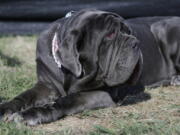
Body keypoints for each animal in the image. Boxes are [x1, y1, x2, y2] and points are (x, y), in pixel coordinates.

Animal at [0, 9, 180, 125]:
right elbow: (24, 96)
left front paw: (31, 114)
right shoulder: (46, 86)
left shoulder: (102, 93)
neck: (69, 72)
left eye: (130, 32)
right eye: (110, 35)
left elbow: (68, 100)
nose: (136, 42)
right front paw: (5, 108)